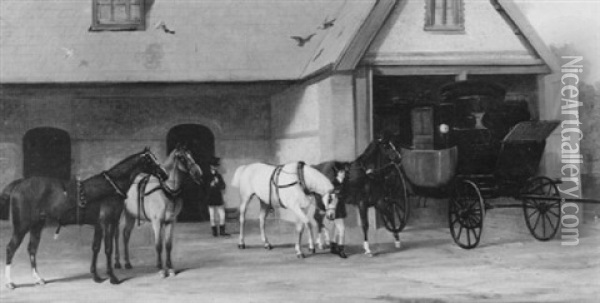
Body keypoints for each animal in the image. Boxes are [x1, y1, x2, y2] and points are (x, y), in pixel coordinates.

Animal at [1, 148, 169, 290]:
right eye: (150, 160)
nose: (165, 175)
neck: (111, 187)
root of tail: (19, 183)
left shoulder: (100, 225)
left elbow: (96, 248)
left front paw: (96, 276)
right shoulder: (107, 223)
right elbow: (107, 248)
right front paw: (112, 277)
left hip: (36, 226)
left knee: (32, 249)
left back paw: (38, 279)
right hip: (21, 226)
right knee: (10, 249)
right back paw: (10, 283)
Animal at [113, 146, 203, 280]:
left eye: (191, 155)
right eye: (182, 157)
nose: (199, 174)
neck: (166, 190)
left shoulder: (171, 221)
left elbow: (168, 245)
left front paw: (170, 269)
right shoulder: (157, 222)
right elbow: (158, 245)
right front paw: (161, 269)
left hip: (130, 215)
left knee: (126, 235)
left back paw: (127, 263)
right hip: (118, 216)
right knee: (116, 235)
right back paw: (117, 263)